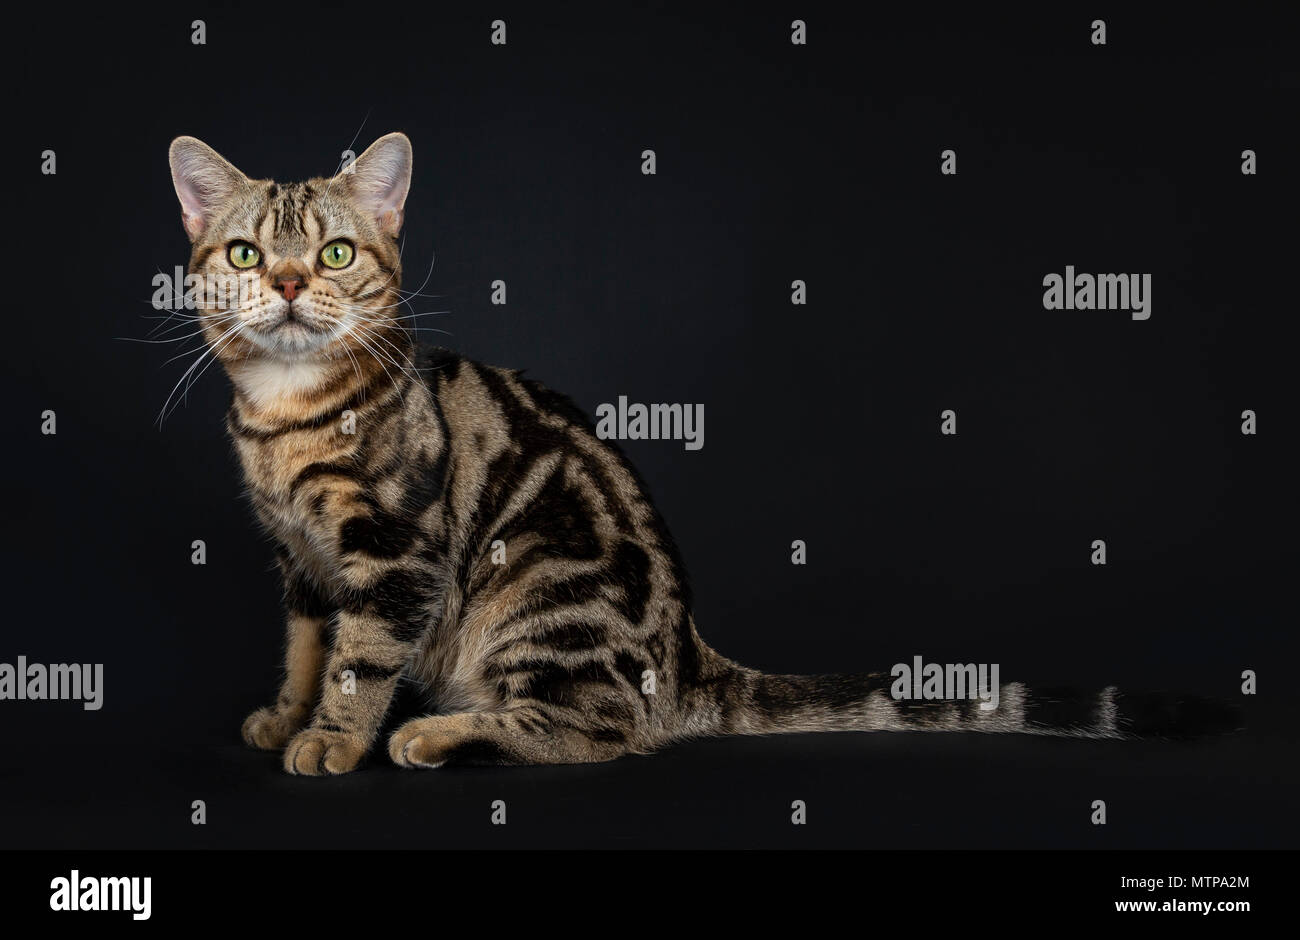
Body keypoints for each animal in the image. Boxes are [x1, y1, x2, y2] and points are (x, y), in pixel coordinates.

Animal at [165, 133, 1237, 780]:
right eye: (248, 256)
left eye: (337, 254)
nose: (291, 282)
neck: (287, 417)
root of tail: (688, 655)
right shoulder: (301, 558)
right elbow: (308, 648)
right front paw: (285, 716)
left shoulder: (391, 553)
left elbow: (359, 661)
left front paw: (332, 741)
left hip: (536, 582)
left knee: (601, 731)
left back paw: (435, 731)